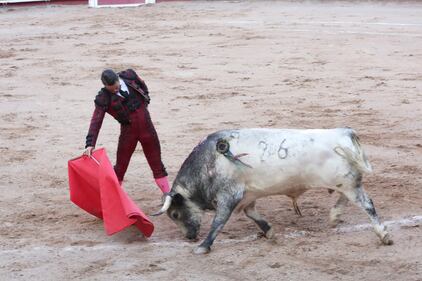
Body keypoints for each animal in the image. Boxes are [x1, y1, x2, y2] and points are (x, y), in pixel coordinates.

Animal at [153, 128, 394, 253]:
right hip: (346, 183)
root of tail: (345, 133)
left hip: (348, 184)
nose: (190, 237)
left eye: (175, 214)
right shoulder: (247, 197)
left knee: (367, 204)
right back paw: (335, 216)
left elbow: (218, 222)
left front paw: (203, 246)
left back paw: (383, 234)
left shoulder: (229, 197)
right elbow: (252, 214)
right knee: (347, 198)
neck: (210, 163)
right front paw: (269, 231)